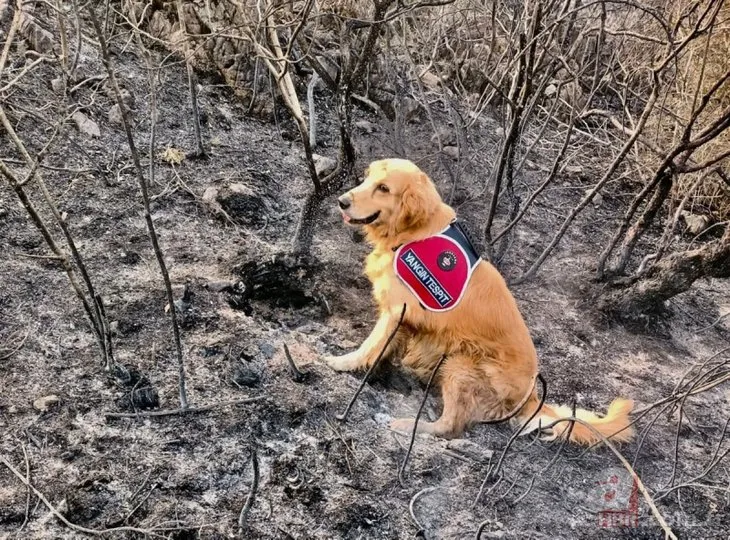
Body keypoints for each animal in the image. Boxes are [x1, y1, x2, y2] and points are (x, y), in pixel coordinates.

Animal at [324, 158, 632, 446]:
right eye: (367, 177)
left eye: (384, 188)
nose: (342, 201)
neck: (415, 232)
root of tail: (532, 396)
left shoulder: (396, 312)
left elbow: (370, 346)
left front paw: (342, 362)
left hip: (460, 364)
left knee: (451, 425)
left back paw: (410, 425)